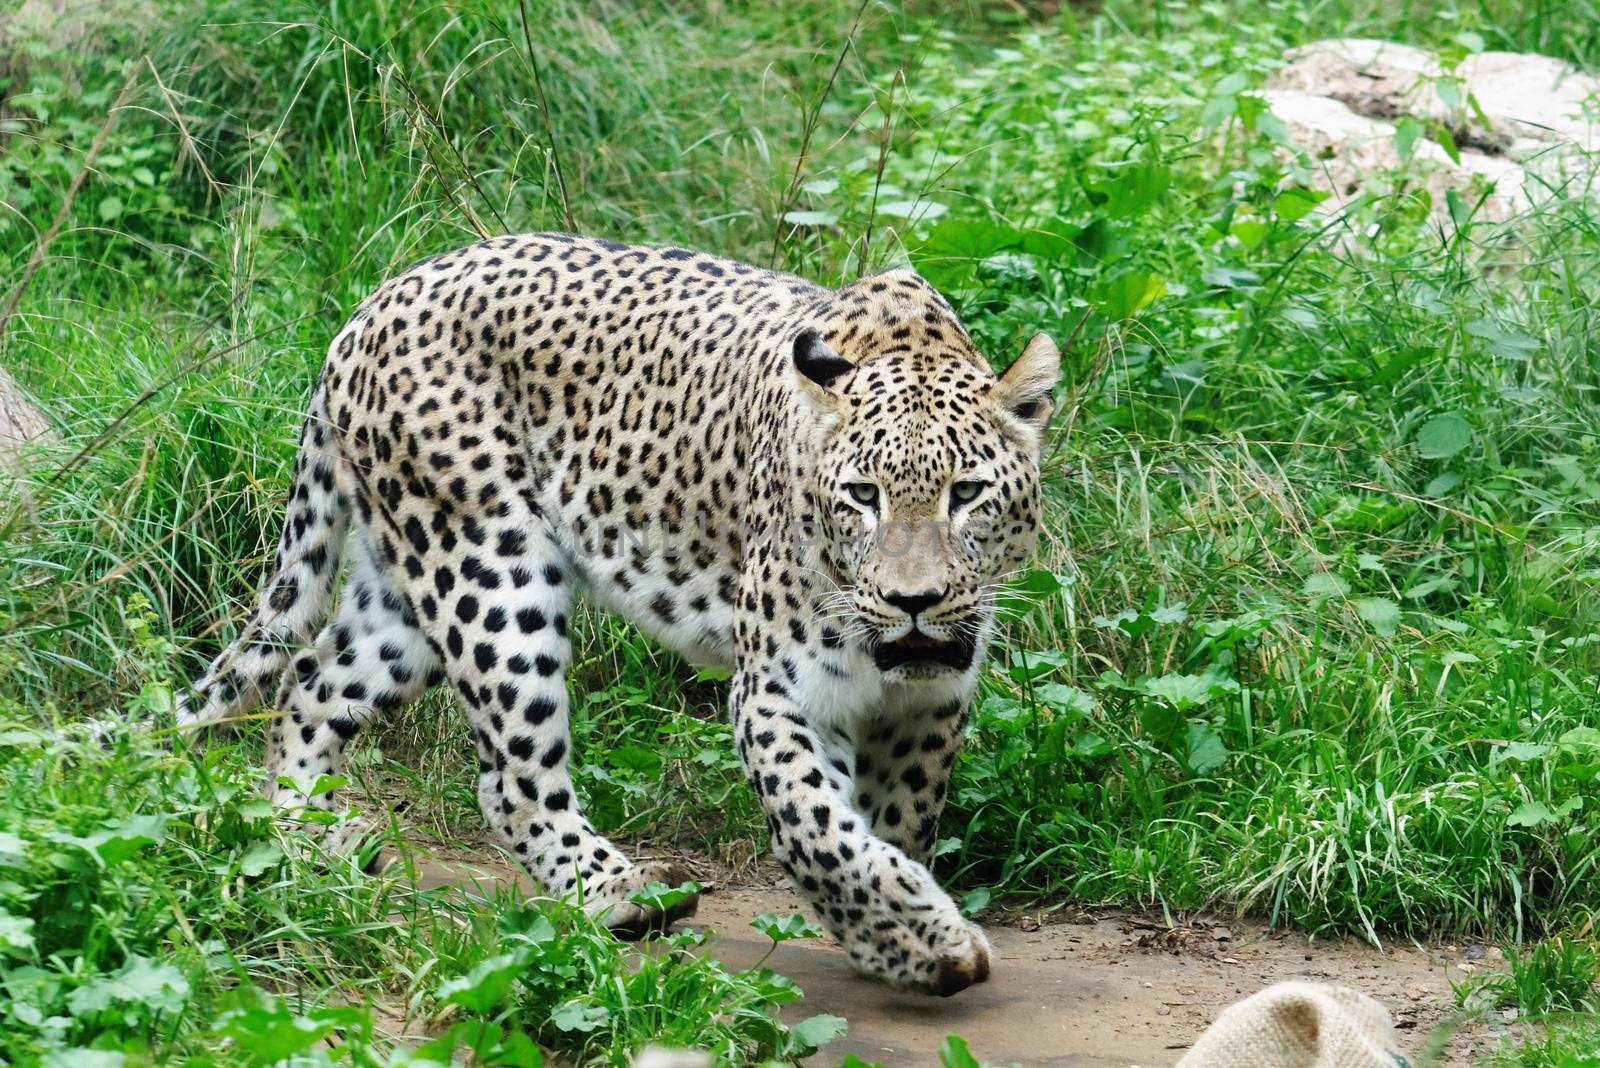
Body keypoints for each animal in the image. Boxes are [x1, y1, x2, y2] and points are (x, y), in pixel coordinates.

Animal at [181, 231, 1056, 991]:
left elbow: (895, 821)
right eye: (863, 497)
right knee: (509, 777)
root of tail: (370, 305)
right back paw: (621, 894)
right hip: (490, 567)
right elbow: (819, 827)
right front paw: (924, 936)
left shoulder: (931, 702)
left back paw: (306, 841)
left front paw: (891, 940)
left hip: (405, 593)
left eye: (966, 493)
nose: (915, 602)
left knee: (311, 683)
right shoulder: (781, 690)